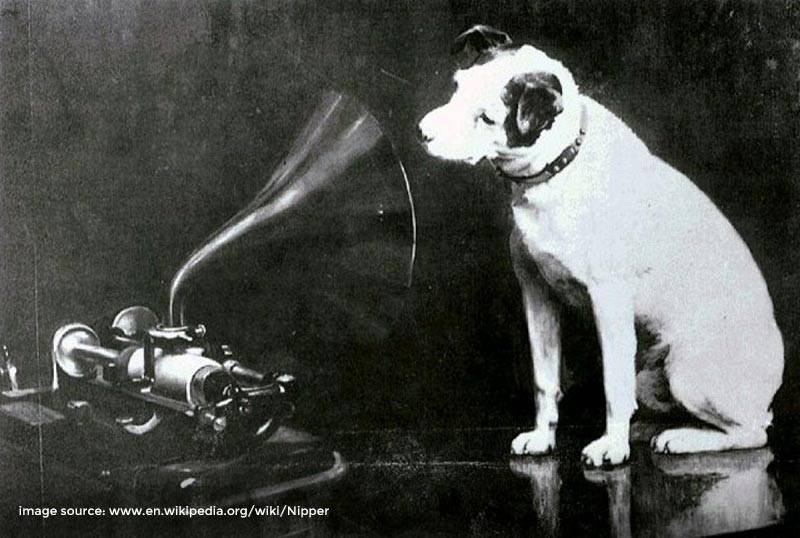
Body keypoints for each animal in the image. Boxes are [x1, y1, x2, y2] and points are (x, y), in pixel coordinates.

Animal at [422, 25, 784, 462]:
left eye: (487, 117)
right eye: (457, 87)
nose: (422, 132)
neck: (559, 169)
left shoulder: (608, 301)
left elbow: (613, 386)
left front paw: (611, 446)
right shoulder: (537, 295)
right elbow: (545, 378)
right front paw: (542, 437)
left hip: (689, 373)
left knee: (752, 433)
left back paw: (682, 439)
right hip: (651, 377)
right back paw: (650, 430)